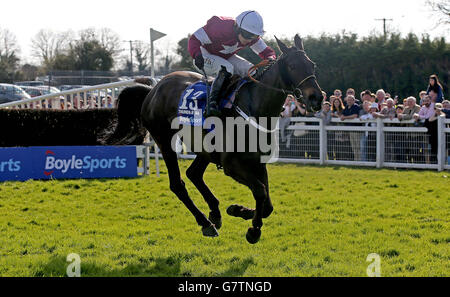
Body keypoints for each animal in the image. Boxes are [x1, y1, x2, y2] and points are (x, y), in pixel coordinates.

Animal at [106, 35, 324, 243]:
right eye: (292, 66)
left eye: (312, 64)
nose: (317, 98)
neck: (253, 107)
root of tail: (152, 89)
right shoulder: (232, 165)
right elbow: (260, 191)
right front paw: (252, 229)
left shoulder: (257, 162)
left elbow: (267, 204)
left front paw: (239, 211)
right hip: (164, 140)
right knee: (177, 184)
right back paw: (205, 222)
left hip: (204, 149)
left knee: (193, 173)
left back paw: (215, 213)